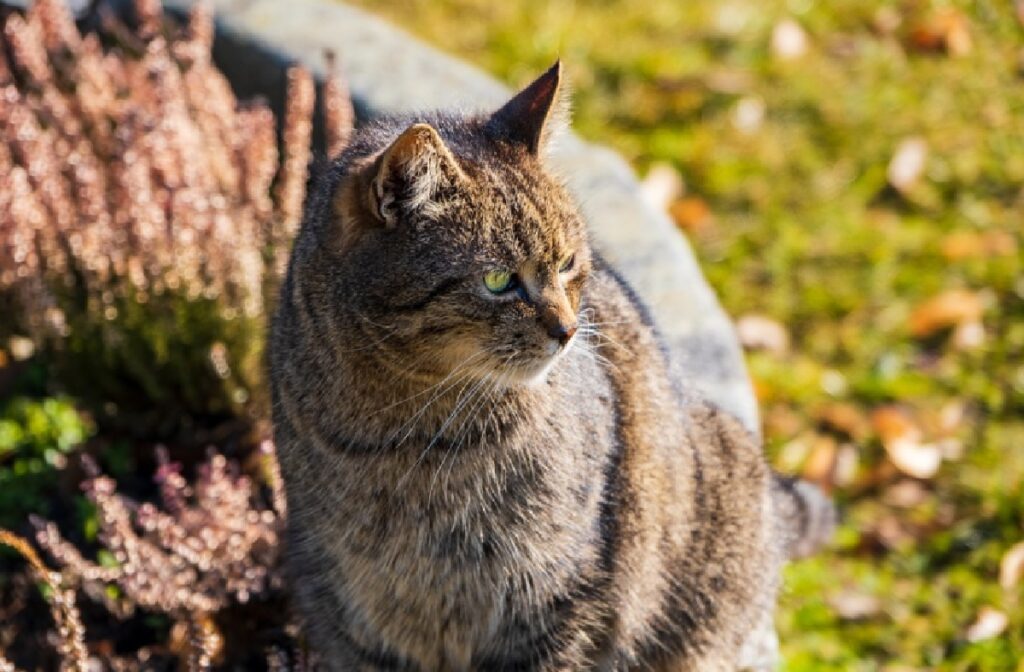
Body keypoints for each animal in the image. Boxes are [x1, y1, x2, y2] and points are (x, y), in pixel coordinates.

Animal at [270, 61, 831, 667]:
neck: (407, 437)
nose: (566, 331)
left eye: (567, 264)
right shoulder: (352, 610)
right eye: (498, 280)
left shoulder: (556, 594)